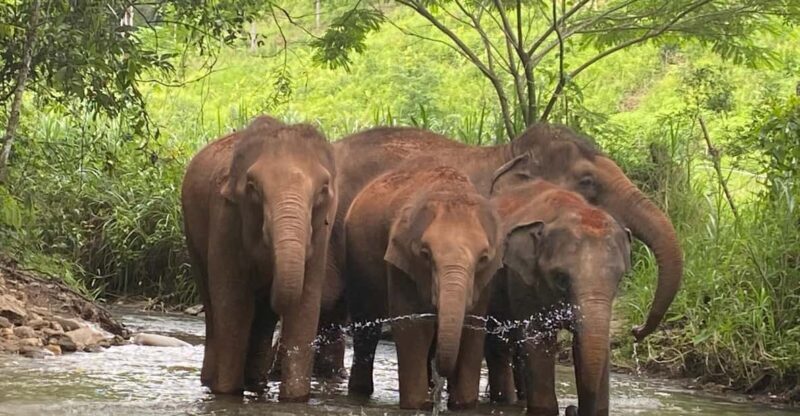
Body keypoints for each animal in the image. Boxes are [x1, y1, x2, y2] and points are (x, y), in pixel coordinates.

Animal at [180, 115, 337, 400]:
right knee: (212, 304)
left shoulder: (322, 234)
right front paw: (227, 393)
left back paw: (255, 383)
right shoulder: (226, 218)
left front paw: (295, 399)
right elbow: (233, 302)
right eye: (252, 187)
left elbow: (306, 306)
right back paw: (212, 381)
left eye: (323, 189)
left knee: (262, 316)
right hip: (191, 233)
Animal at [343, 158, 503, 410]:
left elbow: (472, 328)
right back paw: (360, 392)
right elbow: (413, 327)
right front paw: (418, 405)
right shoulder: (401, 263)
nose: (443, 377)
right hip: (358, 259)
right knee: (367, 328)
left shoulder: (486, 278)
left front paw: (463, 405)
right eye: (425, 254)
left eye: (483, 258)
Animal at [485, 179, 632, 416]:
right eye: (561, 278)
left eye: (618, 279)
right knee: (499, 346)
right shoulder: (521, 280)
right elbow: (538, 341)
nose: (572, 408)